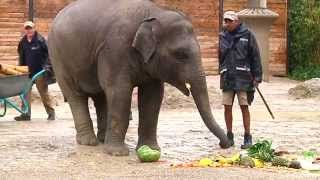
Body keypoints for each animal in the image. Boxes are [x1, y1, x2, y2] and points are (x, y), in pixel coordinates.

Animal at [48, 0, 230, 156]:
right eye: (180, 55)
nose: (225, 144)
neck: (154, 12)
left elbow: (153, 97)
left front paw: (151, 149)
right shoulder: (115, 49)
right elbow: (120, 92)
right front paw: (117, 154)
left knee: (101, 96)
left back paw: (102, 139)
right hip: (58, 58)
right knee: (76, 96)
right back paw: (89, 142)